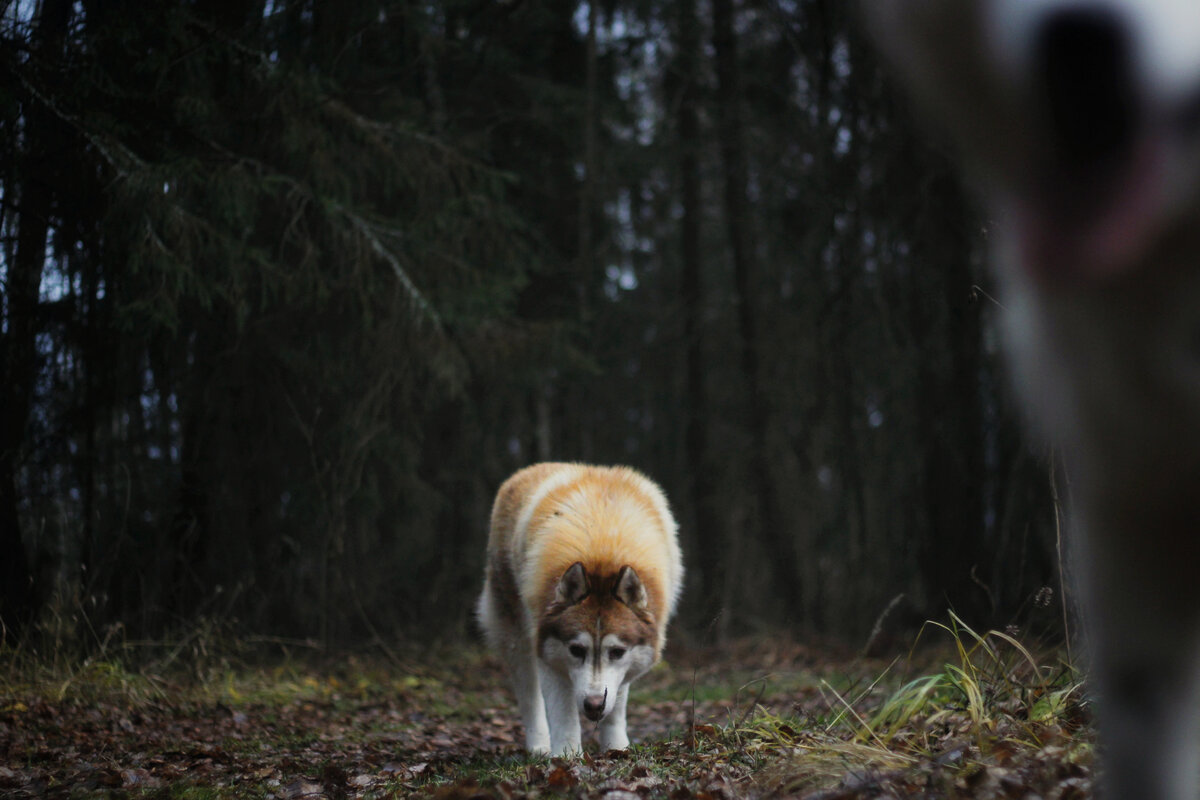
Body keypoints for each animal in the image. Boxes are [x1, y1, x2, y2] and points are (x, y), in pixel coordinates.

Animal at [477, 462, 686, 758]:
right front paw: (566, 756)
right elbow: (563, 713)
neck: (601, 554)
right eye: (576, 650)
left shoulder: (624, 667)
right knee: (529, 695)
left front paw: (616, 748)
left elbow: (616, 708)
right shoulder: (549, 654)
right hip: (515, 637)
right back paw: (539, 746)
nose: (594, 704)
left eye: (616, 652)